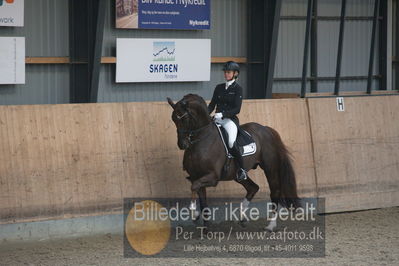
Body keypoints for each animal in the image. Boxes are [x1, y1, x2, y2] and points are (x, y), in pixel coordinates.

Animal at [166, 94, 300, 231]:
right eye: (173, 119)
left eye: (185, 118)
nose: (182, 144)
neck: (202, 140)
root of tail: (266, 129)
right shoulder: (196, 177)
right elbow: (202, 201)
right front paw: (205, 227)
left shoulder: (212, 177)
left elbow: (194, 187)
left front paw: (194, 213)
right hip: (238, 174)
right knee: (253, 188)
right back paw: (241, 217)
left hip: (270, 168)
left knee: (275, 191)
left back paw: (270, 225)